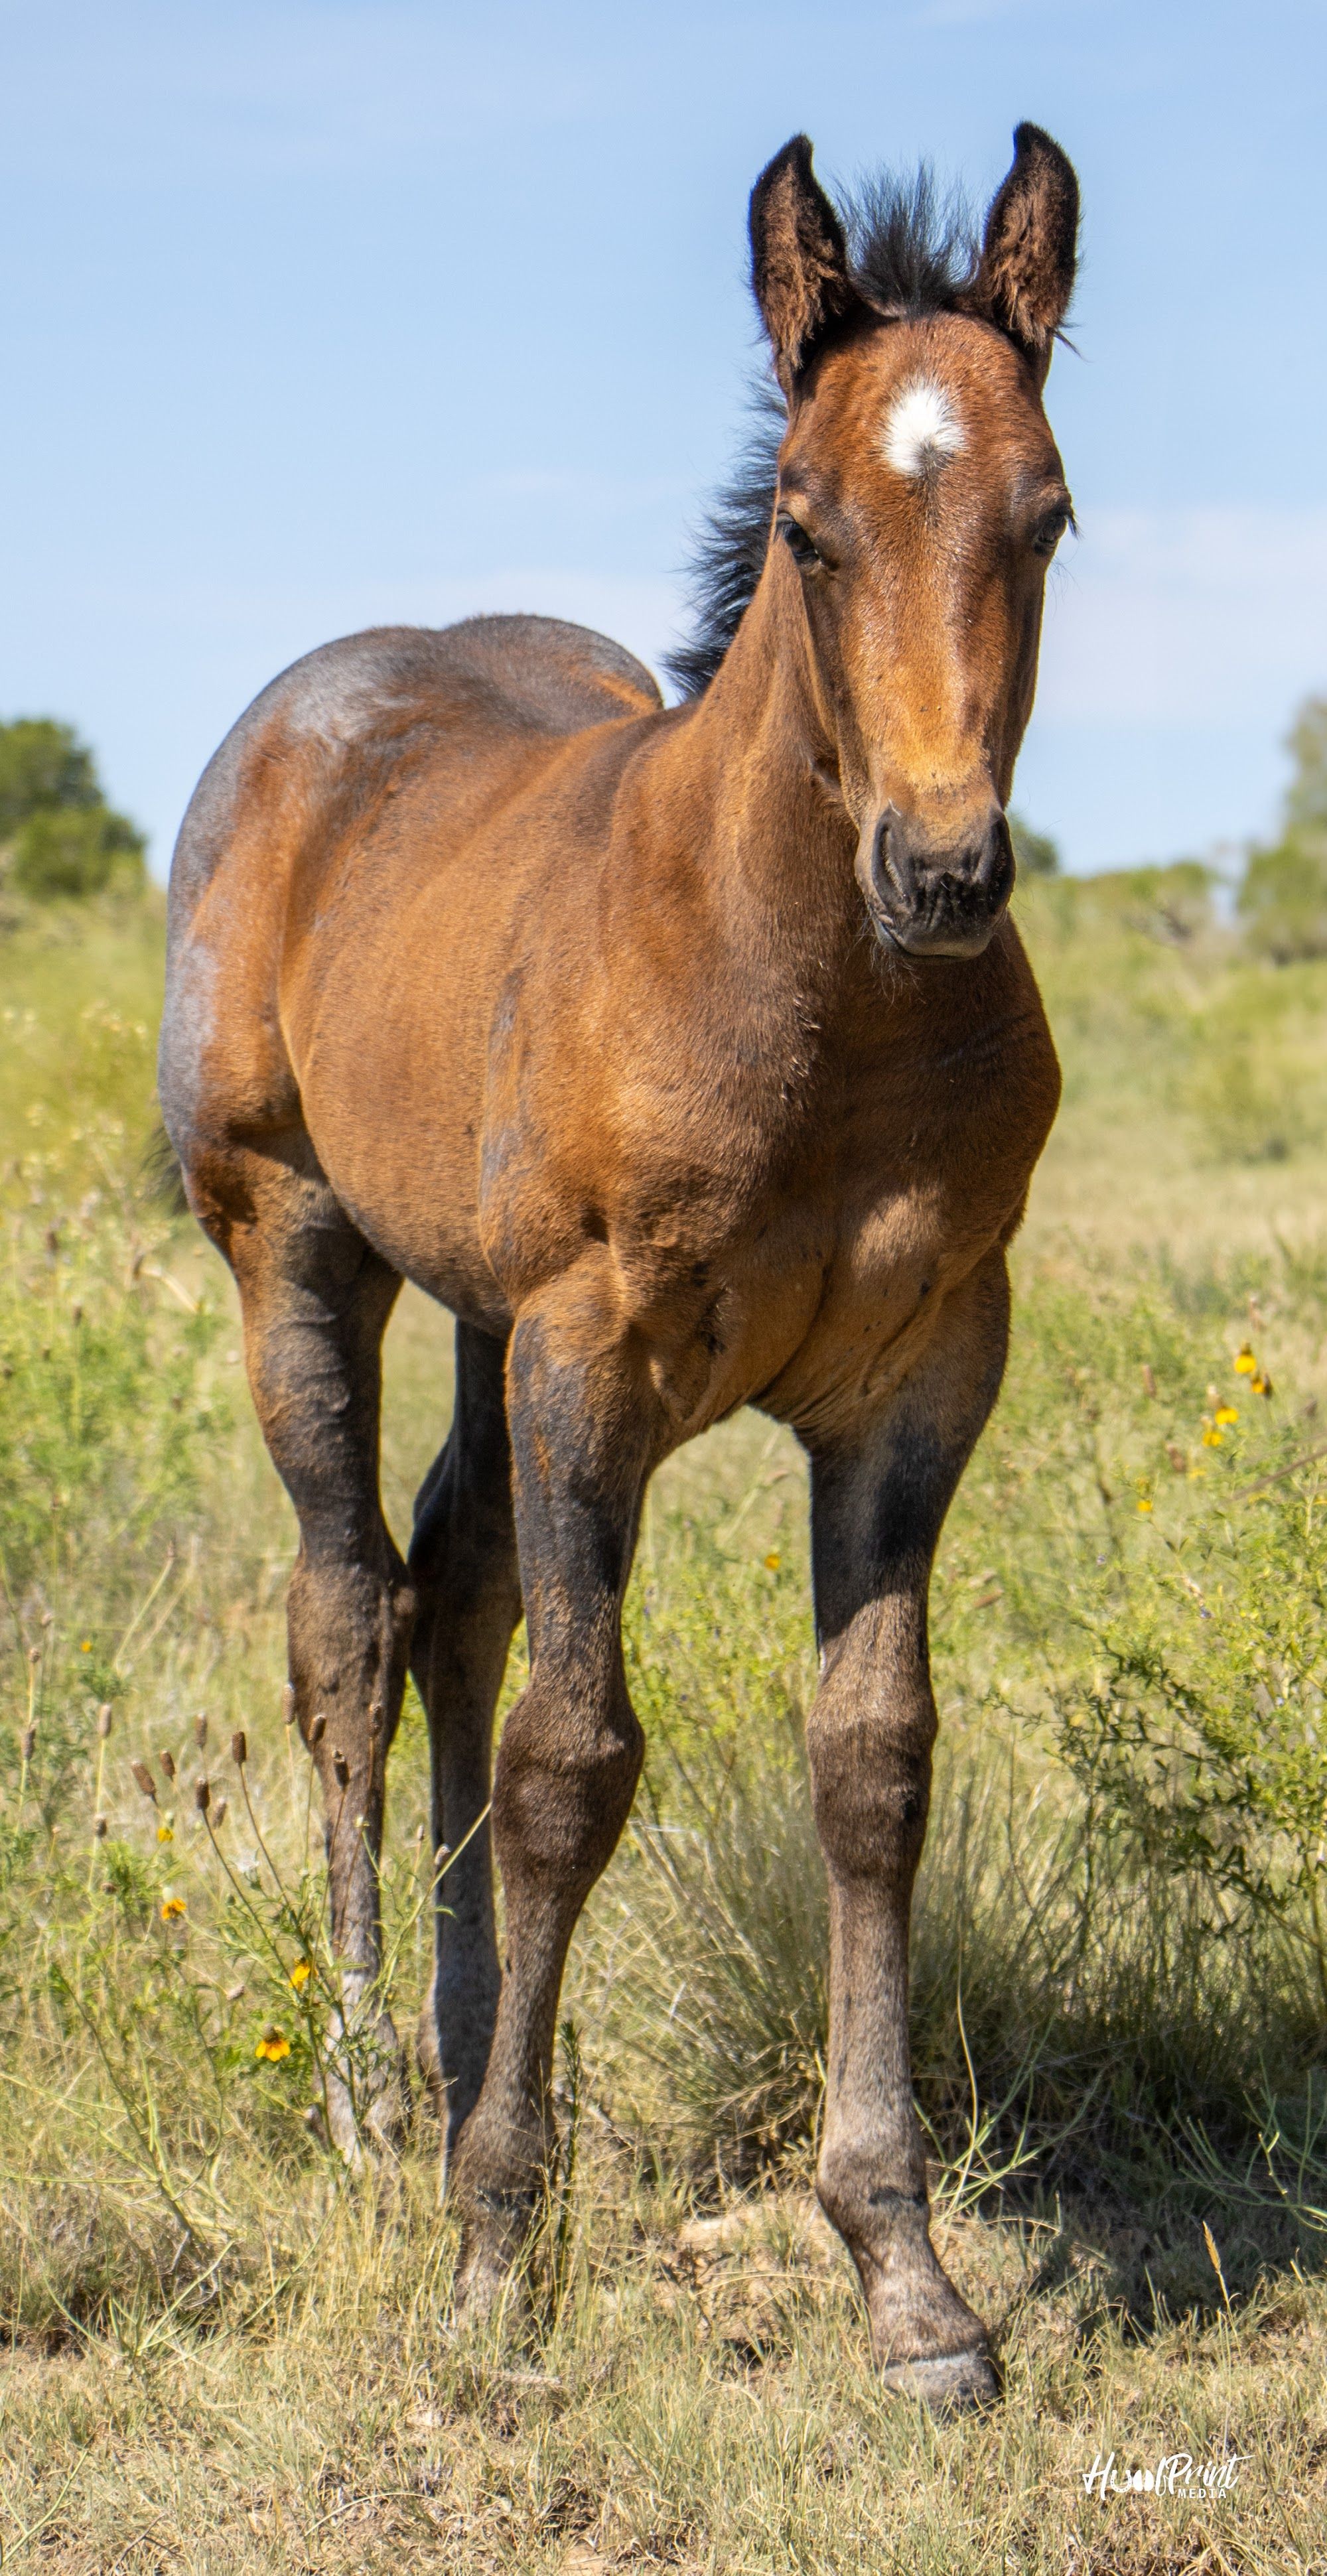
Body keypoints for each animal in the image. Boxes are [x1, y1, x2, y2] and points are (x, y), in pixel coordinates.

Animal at [159, 121, 1077, 2409]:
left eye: (1046, 515)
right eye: (810, 527)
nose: (942, 872)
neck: (815, 992)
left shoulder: (924, 1373)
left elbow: (874, 1761)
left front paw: (905, 2276)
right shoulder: (597, 1357)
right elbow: (576, 1764)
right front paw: (494, 2266)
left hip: (482, 1312)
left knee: (456, 1592)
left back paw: (482, 2061)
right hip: (298, 1244)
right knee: (348, 1618)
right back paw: (378, 2101)